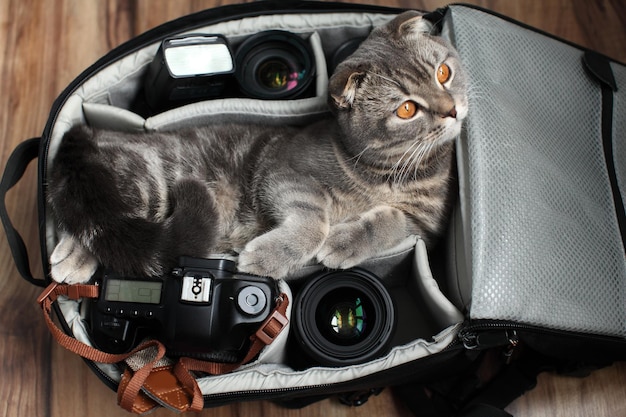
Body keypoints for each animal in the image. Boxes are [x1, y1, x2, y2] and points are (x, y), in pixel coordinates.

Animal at [46, 11, 466, 282]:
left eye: (444, 73)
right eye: (407, 109)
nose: (452, 110)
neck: (385, 174)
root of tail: (90, 133)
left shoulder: (425, 225)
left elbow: (390, 221)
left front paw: (346, 241)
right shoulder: (284, 172)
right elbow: (313, 221)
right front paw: (271, 255)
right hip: (150, 183)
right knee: (99, 220)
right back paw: (74, 256)